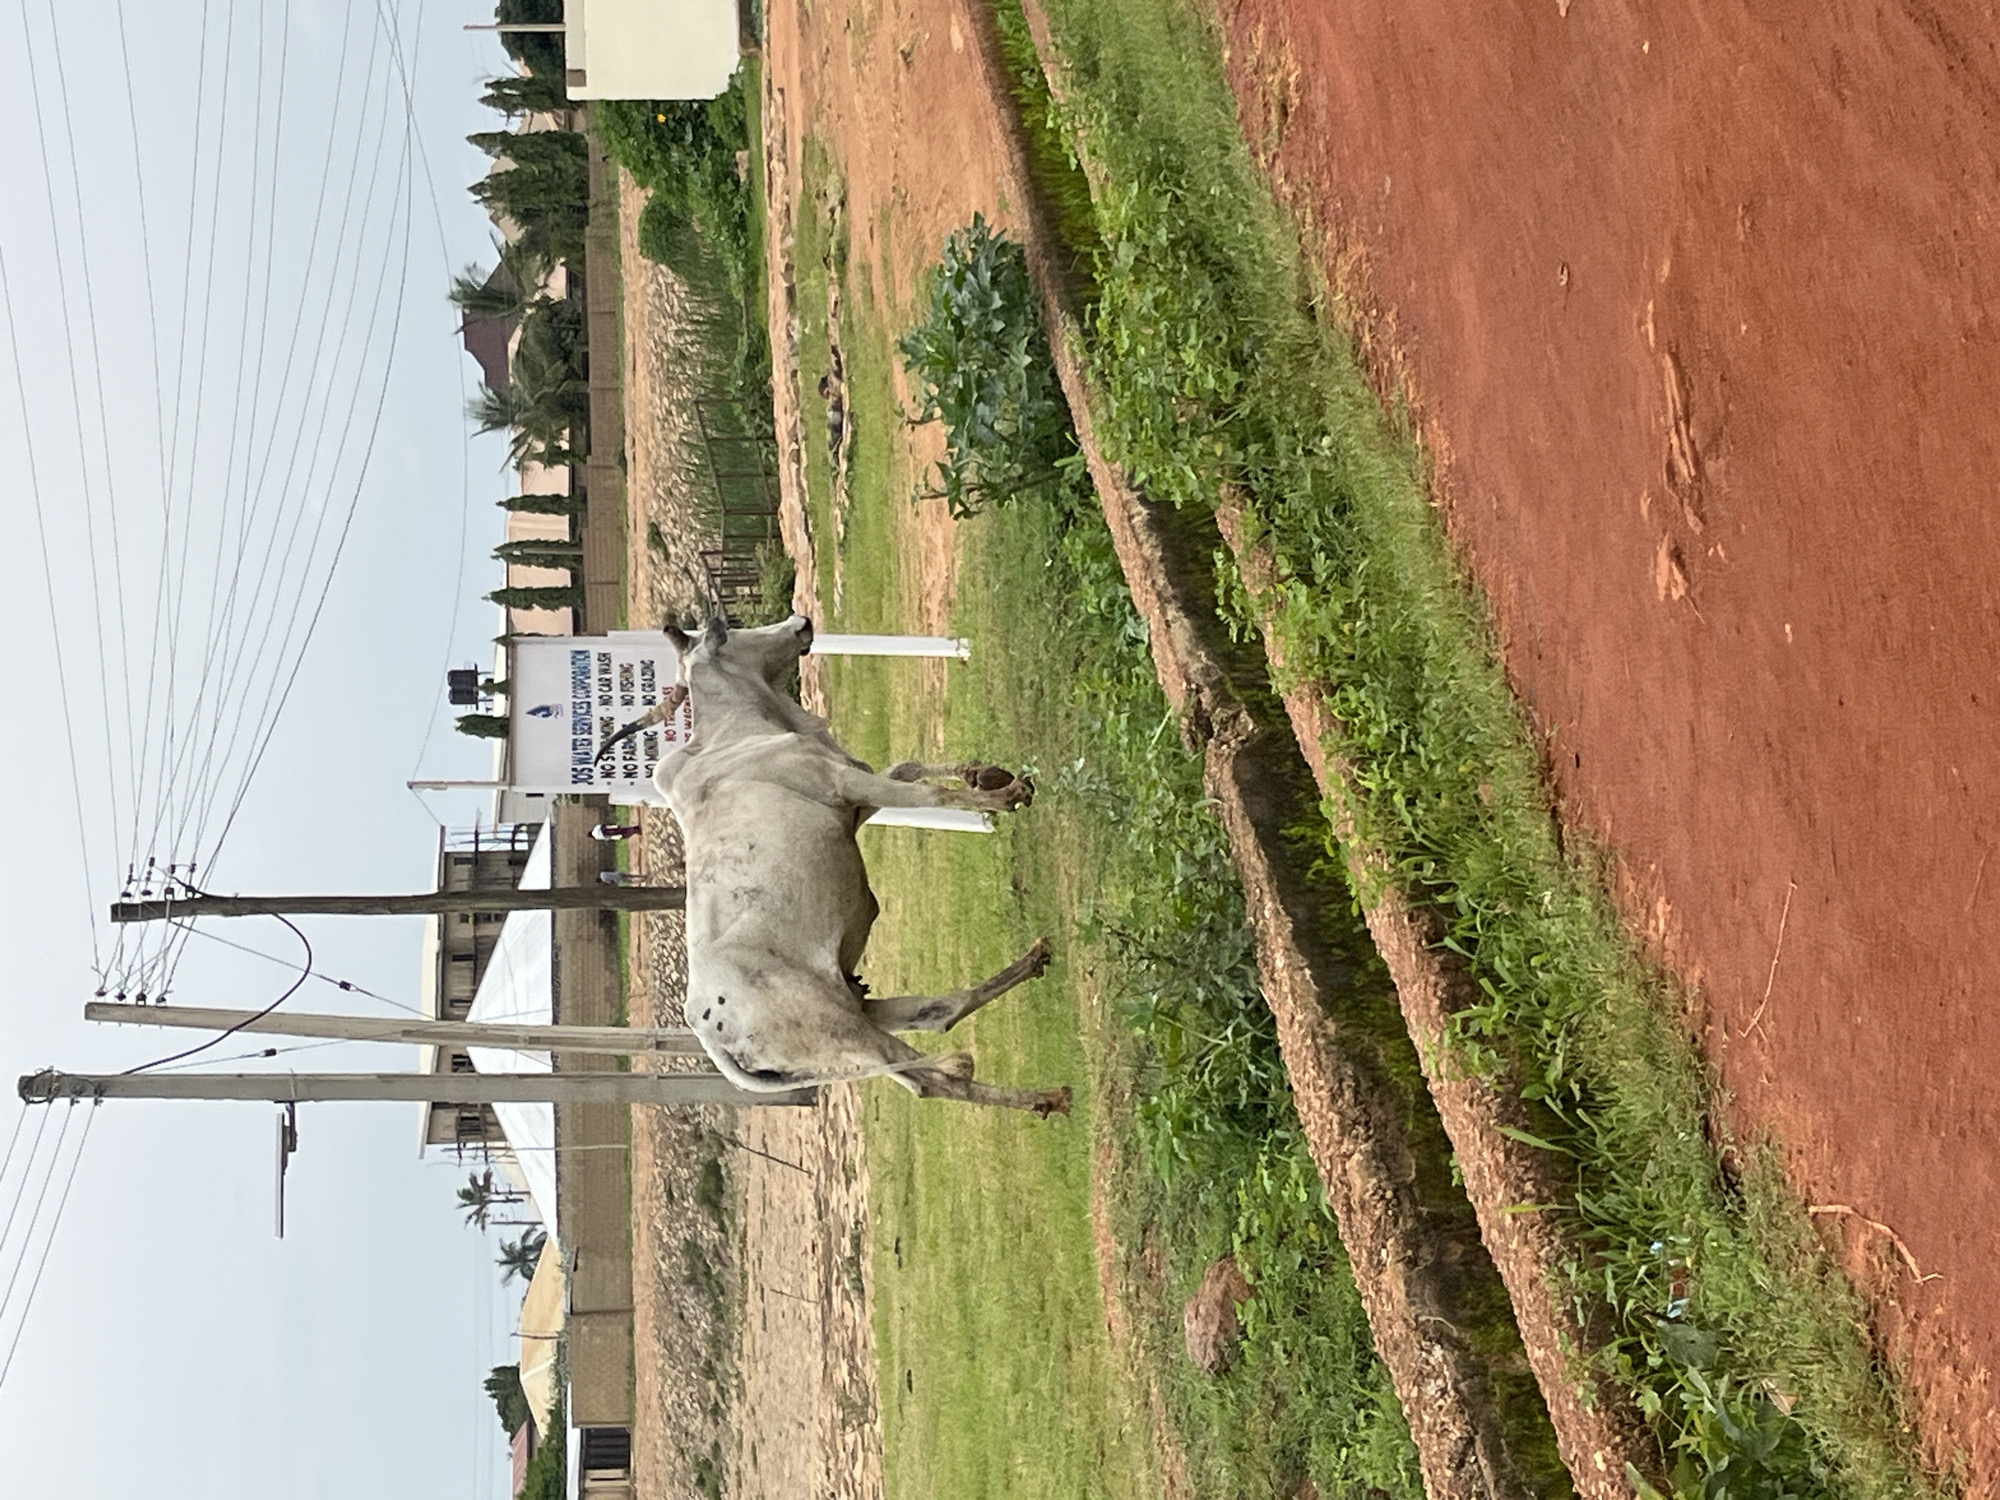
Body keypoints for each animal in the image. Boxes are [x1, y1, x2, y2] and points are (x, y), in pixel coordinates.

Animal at [611, 614, 1070, 1116]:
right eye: (728, 632)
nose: (800, 621)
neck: (739, 733)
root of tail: (713, 1036)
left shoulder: (857, 796)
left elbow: (909, 768)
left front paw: (984, 773)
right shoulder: (847, 783)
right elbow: (929, 793)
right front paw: (1005, 796)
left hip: (856, 1013)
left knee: (939, 1014)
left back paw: (1034, 962)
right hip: (846, 1033)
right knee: (930, 1079)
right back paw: (1045, 1096)